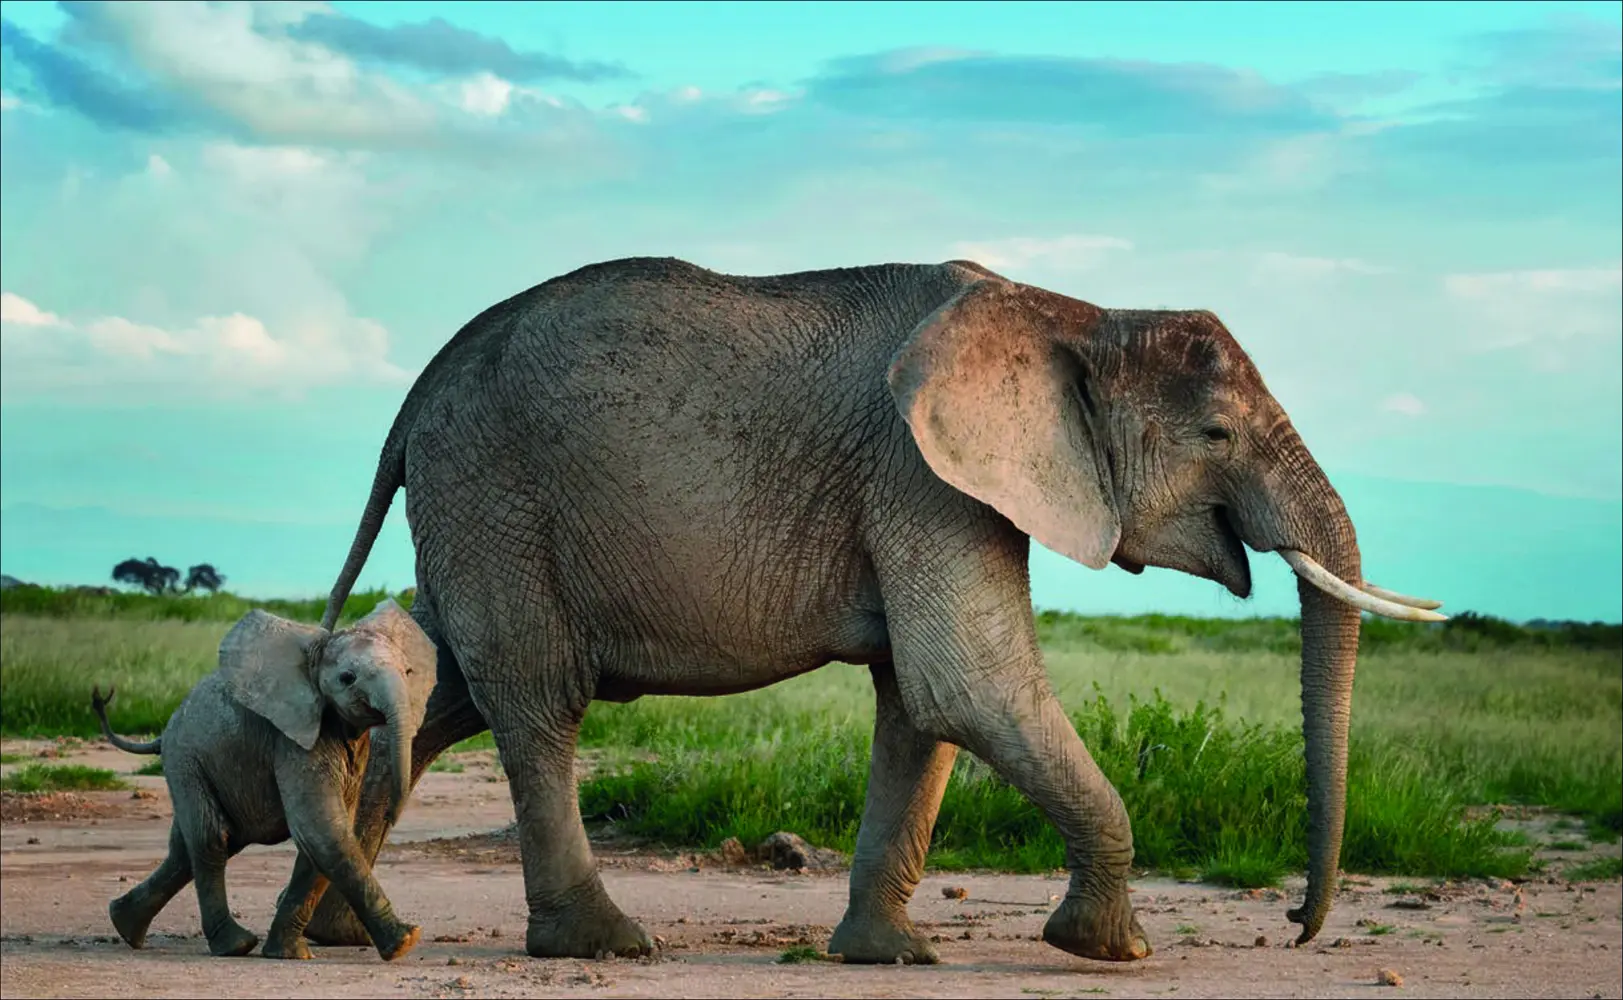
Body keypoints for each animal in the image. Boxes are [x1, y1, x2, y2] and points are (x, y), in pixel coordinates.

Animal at [92, 598, 437, 961]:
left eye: (409, 673)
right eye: (347, 678)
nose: (391, 814)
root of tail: (162, 734)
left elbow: (318, 843)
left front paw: (289, 954)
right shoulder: (294, 741)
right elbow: (321, 830)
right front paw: (405, 941)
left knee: (186, 848)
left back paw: (125, 924)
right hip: (184, 758)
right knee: (211, 838)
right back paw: (234, 945)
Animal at [293, 256, 1444, 964]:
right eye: (1215, 434)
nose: (1294, 924)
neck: (1073, 313)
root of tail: (414, 395)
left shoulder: (931, 486)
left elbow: (920, 707)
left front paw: (887, 956)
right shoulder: (920, 475)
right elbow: (966, 685)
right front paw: (1111, 950)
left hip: (479, 509)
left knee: (438, 695)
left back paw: (328, 934)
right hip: (498, 493)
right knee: (535, 703)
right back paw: (600, 943)